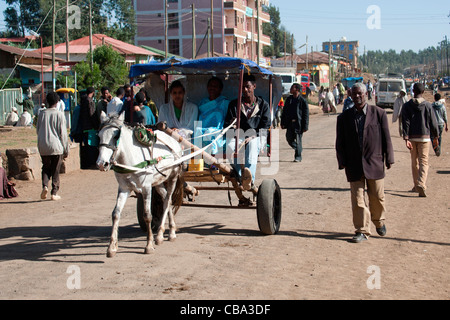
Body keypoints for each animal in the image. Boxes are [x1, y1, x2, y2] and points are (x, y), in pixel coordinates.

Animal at [97, 115, 184, 258]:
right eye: (98, 136)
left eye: (115, 136)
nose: (101, 163)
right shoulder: (124, 189)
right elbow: (115, 214)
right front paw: (112, 247)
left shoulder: (146, 188)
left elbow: (147, 216)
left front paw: (149, 246)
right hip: (158, 181)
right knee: (167, 199)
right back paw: (166, 231)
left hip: (173, 177)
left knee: (167, 201)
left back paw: (166, 234)